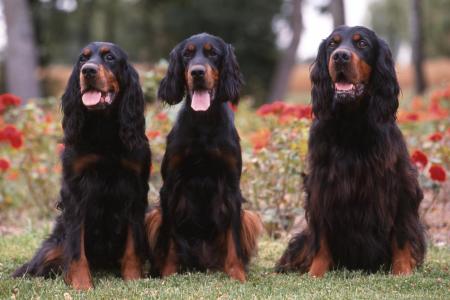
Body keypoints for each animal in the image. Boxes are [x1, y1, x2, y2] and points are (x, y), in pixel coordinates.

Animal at [12, 42, 151, 290]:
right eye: (82, 59)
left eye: (110, 57)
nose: (88, 71)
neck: (104, 128)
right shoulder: (75, 190)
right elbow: (76, 248)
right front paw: (81, 284)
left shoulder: (136, 189)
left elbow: (133, 244)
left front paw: (133, 279)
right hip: (54, 244)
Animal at [146, 32, 262, 282]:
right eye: (187, 54)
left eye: (213, 53)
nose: (197, 72)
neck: (204, 121)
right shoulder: (170, 185)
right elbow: (168, 237)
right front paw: (168, 272)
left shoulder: (231, 186)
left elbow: (234, 239)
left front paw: (238, 274)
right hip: (153, 215)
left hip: (249, 216)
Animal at [276, 26, 428, 276]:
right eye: (332, 44)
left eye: (362, 43)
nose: (340, 56)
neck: (351, 121)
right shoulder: (321, 185)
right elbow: (321, 237)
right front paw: (316, 272)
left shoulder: (400, 183)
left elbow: (401, 233)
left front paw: (402, 270)